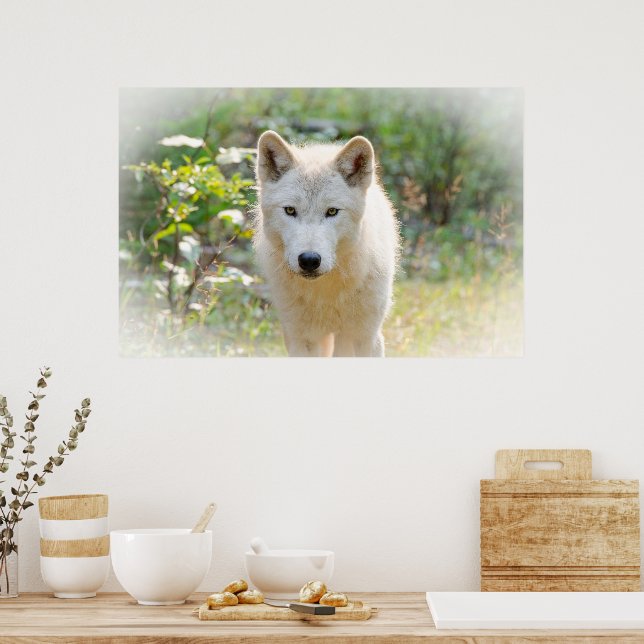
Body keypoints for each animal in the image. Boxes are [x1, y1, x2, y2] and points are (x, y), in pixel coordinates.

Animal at [253, 130, 400, 357]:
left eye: (332, 211)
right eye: (290, 210)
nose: (309, 260)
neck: (325, 293)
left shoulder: (364, 336)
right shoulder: (302, 339)